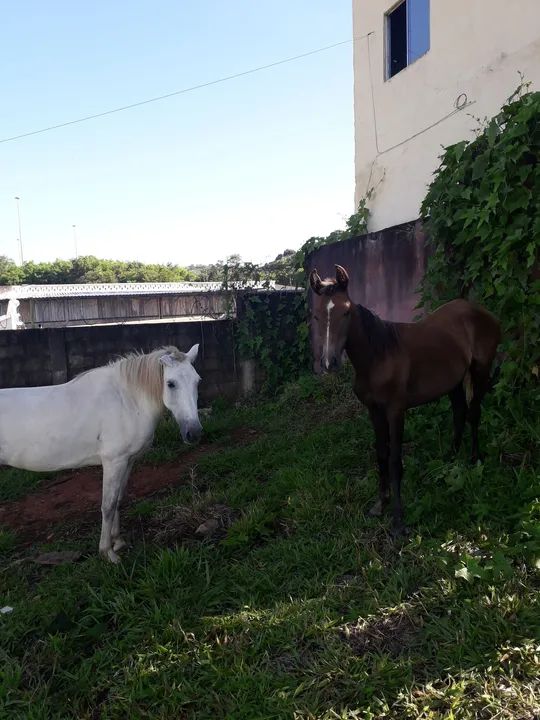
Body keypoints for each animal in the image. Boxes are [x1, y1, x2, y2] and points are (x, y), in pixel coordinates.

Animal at [0, 345, 202, 562]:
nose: (194, 433)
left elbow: (119, 500)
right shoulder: (114, 462)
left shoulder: (128, 461)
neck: (127, 400)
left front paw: (118, 541)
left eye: (197, 381)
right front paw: (107, 552)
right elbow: (108, 505)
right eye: (171, 384)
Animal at [309, 264, 501, 536]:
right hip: (453, 380)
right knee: (459, 412)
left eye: (346, 311)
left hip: (480, 371)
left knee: (473, 413)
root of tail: (482, 312)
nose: (329, 363)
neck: (378, 357)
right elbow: (381, 454)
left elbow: (394, 461)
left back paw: (475, 459)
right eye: (316, 316)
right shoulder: (374, 411)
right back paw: (449, 459)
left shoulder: (396, 411)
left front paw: (398, 519)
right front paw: (381, 504)